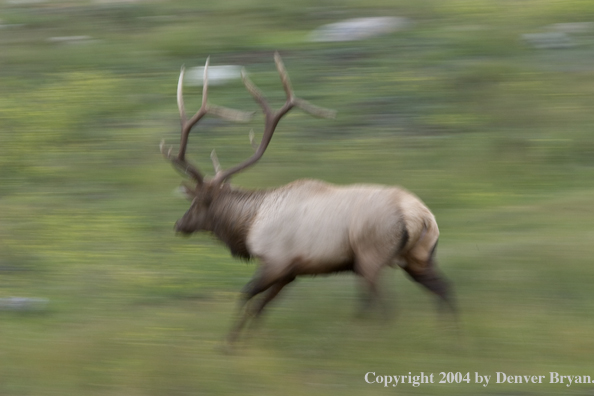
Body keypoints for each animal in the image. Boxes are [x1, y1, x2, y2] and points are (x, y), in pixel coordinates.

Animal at [160, 52, 450, 344]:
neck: (248, 224)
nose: (178, 224)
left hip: (371, 255)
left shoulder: (276, 261)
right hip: (419, 255)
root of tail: (420, 216)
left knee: (385, 305)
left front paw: (229, 344)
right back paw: (447, 335)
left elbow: (246, 296)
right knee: (445, 289)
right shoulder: (290, 272)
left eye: (196, 202)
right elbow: (260, 307)